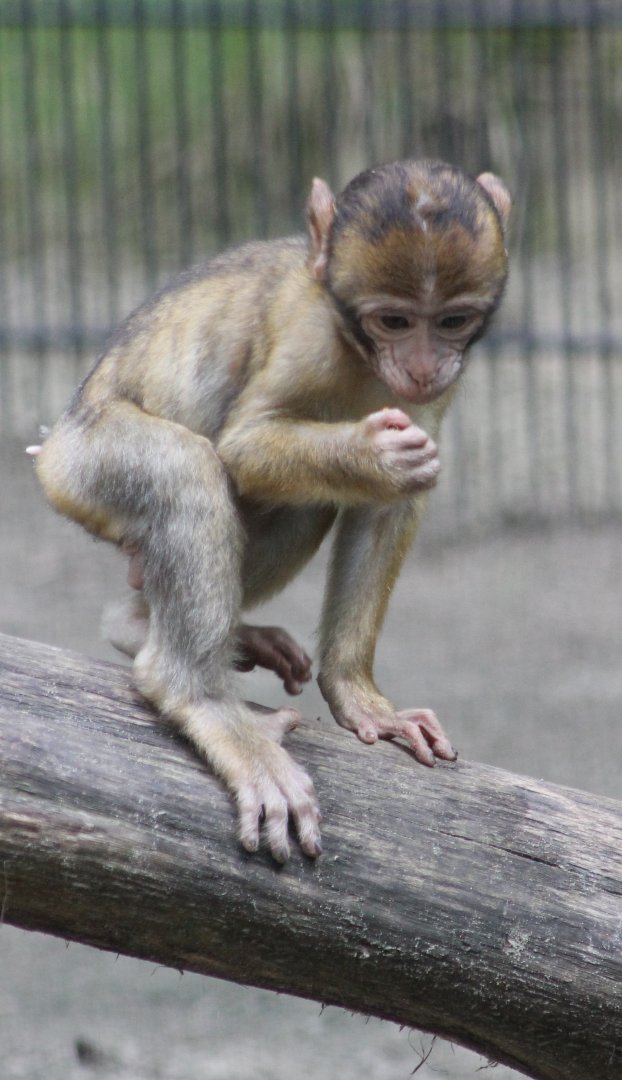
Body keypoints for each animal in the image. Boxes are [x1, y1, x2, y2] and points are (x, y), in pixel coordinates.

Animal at [35, 158, 511, 862]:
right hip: (85, 465)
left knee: (307, 502)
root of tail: (53, 449)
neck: (355, 349)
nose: (423, 367)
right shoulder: (309, 339)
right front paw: (374, 455)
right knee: (188, 469)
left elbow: (389, 504)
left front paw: (358, 695)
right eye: (395, 322)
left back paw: (143, 621)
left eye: (451, 321)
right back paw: (196, 694)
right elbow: (243, 447)